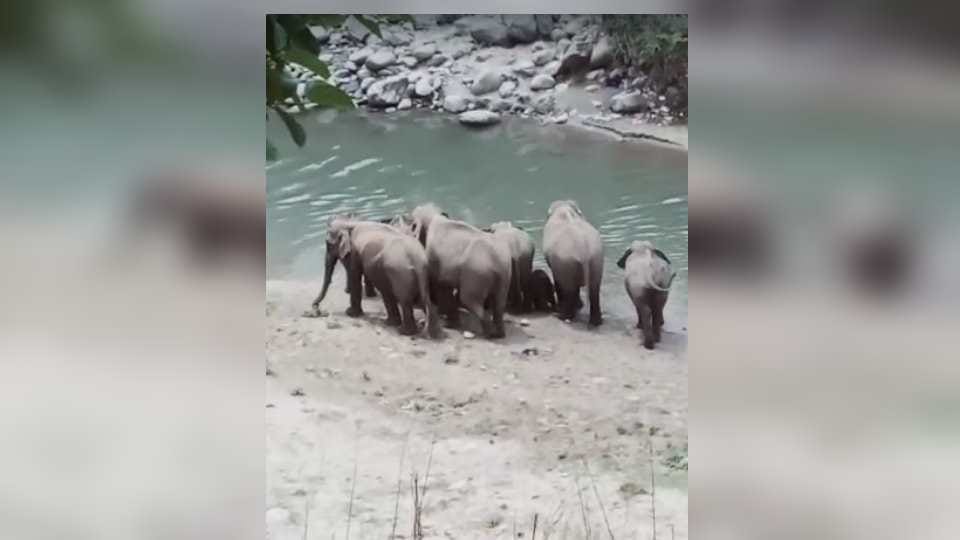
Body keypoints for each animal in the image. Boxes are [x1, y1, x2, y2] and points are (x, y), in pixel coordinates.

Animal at [411, 204, 512, 339]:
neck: (436, 216)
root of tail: (497, 263)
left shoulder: (437, 261)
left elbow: (442, 286)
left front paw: (450, 324)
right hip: (504, 276)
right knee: (499, 304)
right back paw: (499, 334)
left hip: (476, 274)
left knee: (468, 298)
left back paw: (488, 334)